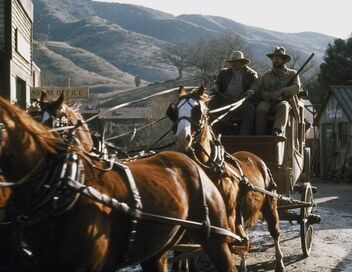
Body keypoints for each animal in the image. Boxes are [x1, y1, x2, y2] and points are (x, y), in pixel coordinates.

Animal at [169, 85, 284, 272]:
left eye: (198, 111)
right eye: (175, 111)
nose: (181, 138)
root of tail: (255, 157)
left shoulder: (227, 219)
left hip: (269, 204)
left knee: (273, 231)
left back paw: (279, 261)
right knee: (244, 238)